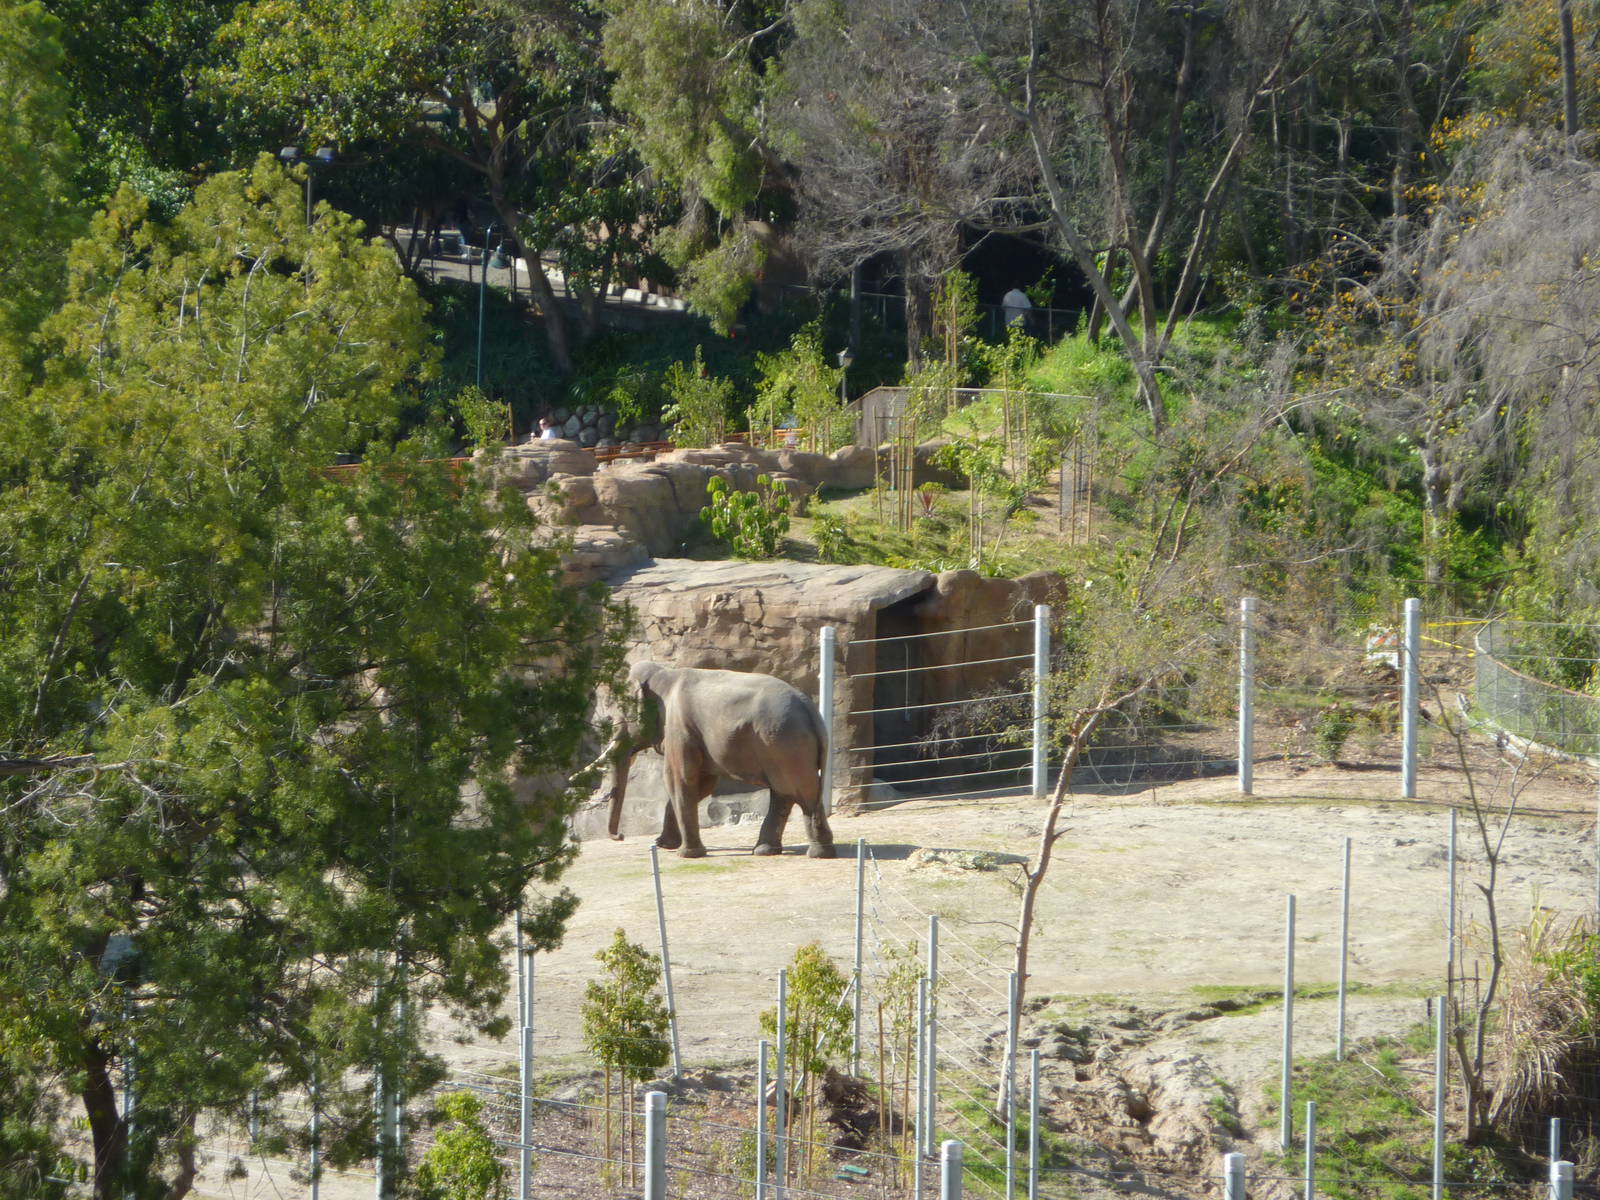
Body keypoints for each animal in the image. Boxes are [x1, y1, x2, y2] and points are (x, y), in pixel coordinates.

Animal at [604, 661, 836, 859]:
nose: (620, 836)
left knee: (798, 792)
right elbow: (702, 784)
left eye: (617, 716)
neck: (665, 672)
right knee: (786, 792)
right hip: (785, 745)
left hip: (784, 742)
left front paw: (686, 854)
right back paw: (767, 850)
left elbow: (679, 778)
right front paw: (664, 845)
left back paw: (817, 853)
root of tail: (810, 709)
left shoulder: (678, 727)